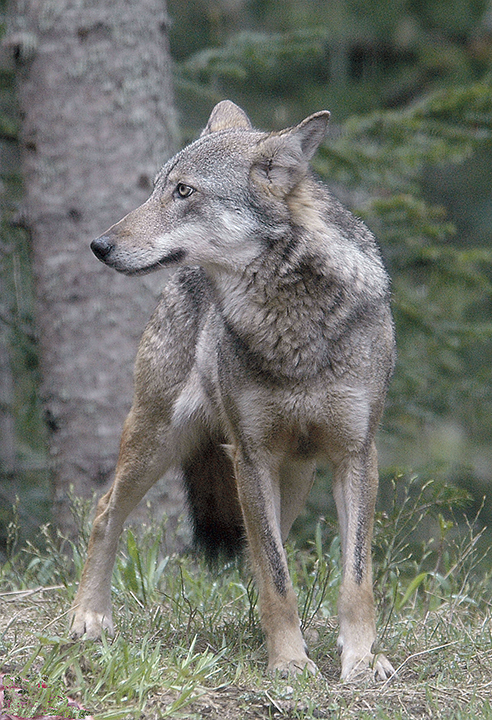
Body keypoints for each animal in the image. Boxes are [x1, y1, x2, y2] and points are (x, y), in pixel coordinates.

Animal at [69, 100, 396, 680]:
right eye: (157, 187)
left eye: (183, 191)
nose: (99, 245)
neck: (292, 322)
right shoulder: (251, 455)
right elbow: (280, 579)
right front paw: (289, 662)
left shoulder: (356, 454)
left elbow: (355, 578)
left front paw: (360, 659)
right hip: (159, 439)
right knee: (106, 510)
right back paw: (90, 616)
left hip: (293, 478)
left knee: (259, 554)